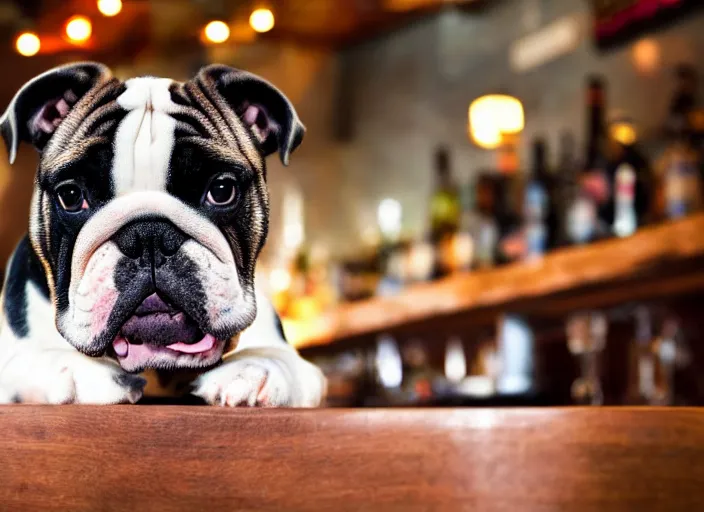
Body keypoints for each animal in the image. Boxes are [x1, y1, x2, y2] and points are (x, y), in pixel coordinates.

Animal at [0, 64, 324, 406]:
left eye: (222, 190)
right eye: (72, 195)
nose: (149, 236)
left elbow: (278, 358)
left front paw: (254, 368)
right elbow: (27, 358)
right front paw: (82, 371)